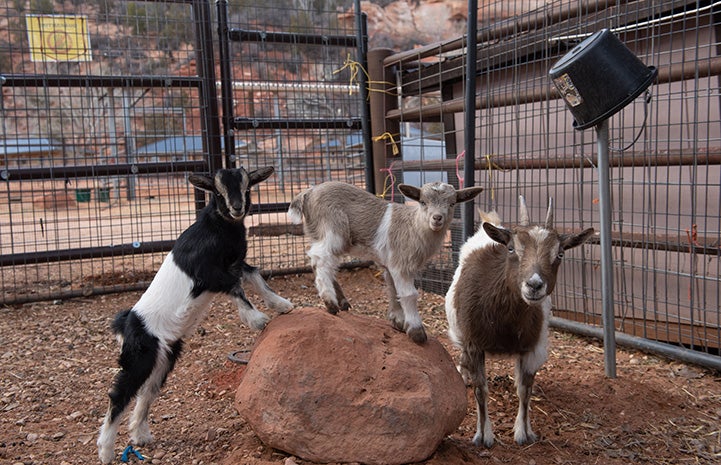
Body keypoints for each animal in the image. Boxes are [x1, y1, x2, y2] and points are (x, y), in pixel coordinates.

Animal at [97, 167, 293, 464]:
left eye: (247, 187)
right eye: (218, 192)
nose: (236, 208)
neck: (217, 227)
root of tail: (127, 324)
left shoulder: (235, 264)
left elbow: (255, 276)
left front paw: (281, 304)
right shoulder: (211, 274)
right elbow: (237, 287)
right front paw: (257, 319)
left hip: (164, 358)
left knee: (147, 391)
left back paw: (140, 435)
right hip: (140, 357)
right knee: (119, 394)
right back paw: (106, 451)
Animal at [287, 180, 483, 344]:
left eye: (452, 203)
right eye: (422, 202)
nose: (437, 218)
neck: (413, 227)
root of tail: (309, 192)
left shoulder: (390, 264)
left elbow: (392, 289)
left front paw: (398, 321)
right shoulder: (401, 264)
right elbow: (409, 294)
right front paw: (416, 331)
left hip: (319, 233)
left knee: (324, 262)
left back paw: (340, 300)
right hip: (332, 230)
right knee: (320, 258)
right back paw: (330, 302)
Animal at [445, 196, 594, 447]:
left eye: (560, 254)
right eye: (512, 248)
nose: (534, 285)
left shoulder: (532, 348)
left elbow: (525, 391)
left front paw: (524, 432)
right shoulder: (474, 344)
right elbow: (481, 391)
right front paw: (483, 435)